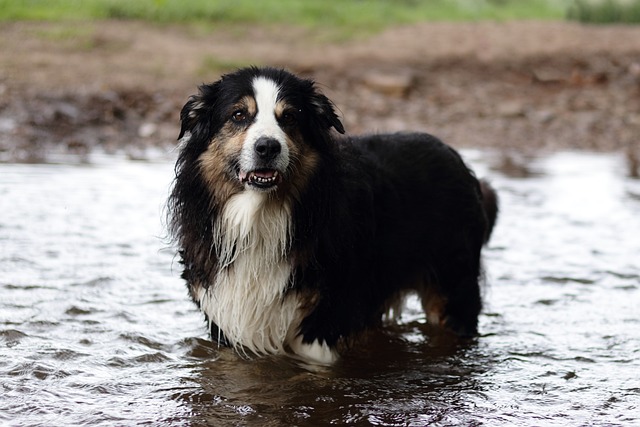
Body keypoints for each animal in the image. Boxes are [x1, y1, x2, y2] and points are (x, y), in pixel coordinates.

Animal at [168, 66, 498, 364]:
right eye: (238, 115)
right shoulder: (226, 318)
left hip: (454, 286)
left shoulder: (322, 323)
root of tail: (459, 160)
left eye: (290, 117)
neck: (261, 214)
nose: (267, 147)